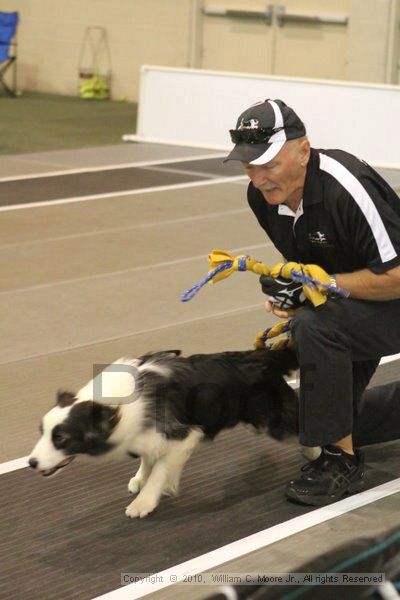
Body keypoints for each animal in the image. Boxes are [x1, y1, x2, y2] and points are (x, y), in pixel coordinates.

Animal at [28, 350, 304, 516]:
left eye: (60, 438)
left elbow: (160, 470)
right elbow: (149, 457)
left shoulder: (185, 435)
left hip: (273, 420)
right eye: (41, 431)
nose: (31, 463)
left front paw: (144, 502)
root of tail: (263, 356)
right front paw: (141, 478)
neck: (113, 409)